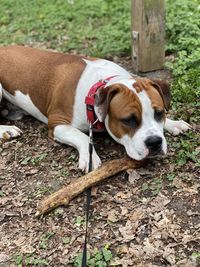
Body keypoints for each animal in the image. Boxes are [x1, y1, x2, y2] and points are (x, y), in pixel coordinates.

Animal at [0, 45, 191, 172]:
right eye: (128, 120)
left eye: (160, 113)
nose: (155, 142)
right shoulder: (57, 124)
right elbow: (82, 136)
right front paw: (90, 158)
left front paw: (173, 123)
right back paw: (6, 130)